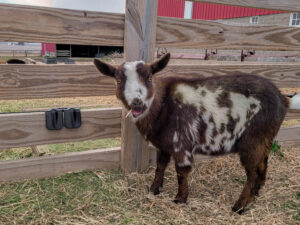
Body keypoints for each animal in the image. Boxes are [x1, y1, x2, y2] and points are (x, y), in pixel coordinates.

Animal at [93, 53, 298, 214]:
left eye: (150, 77)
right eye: (119, 79)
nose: (137, 102)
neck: (163, 105)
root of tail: (283, 99)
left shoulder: (182, 142)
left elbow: (182, 171)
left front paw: (180, 198)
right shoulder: (164, 145)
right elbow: (160, 166)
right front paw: (154, 189)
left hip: (253, 140)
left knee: (252, 172)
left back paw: (239, 207)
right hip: (265, 139)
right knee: (264, 162)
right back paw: (257, 192)